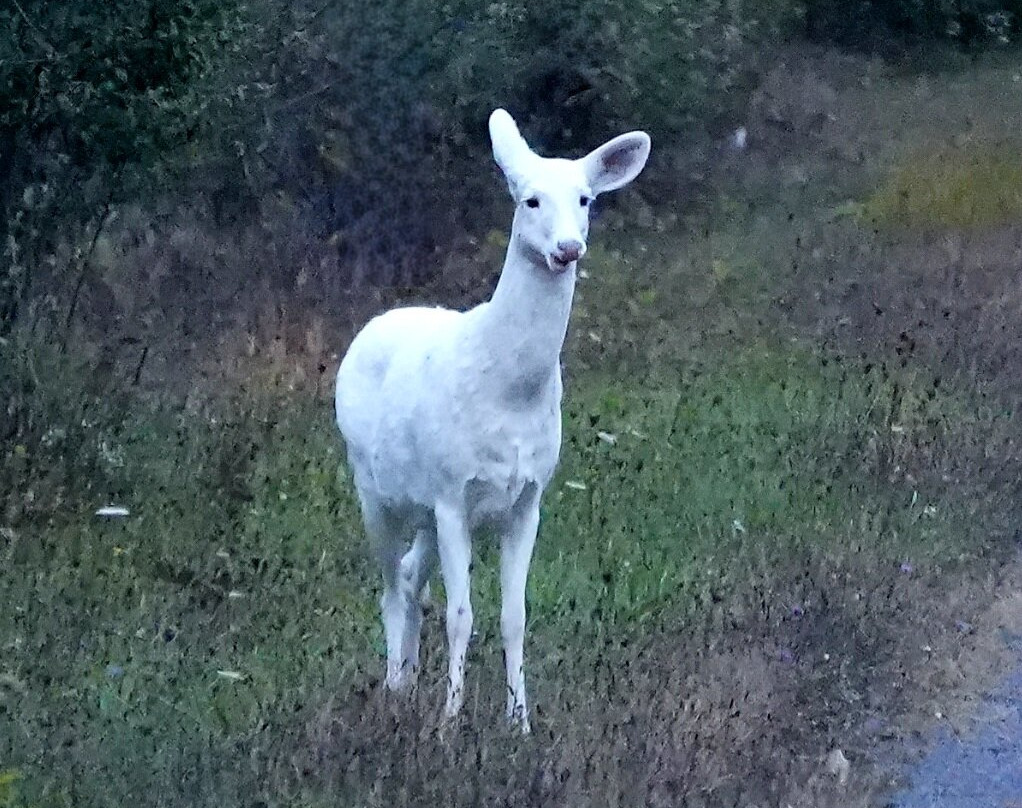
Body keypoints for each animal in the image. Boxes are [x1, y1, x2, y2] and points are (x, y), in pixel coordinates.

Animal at [337, 104, 654, 731]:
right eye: (529, 199)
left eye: (585, 198)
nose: (568, 248)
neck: (511, 394)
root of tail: (376, 323)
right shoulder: (452, 495)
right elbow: (461, 615)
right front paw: (449, 726)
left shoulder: (527, 497)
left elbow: (514, 615)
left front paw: (520, 723)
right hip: (373, 487)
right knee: (389, 584)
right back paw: (394, 685)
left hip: (422, 506)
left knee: (409, 574)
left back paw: (409, 680)